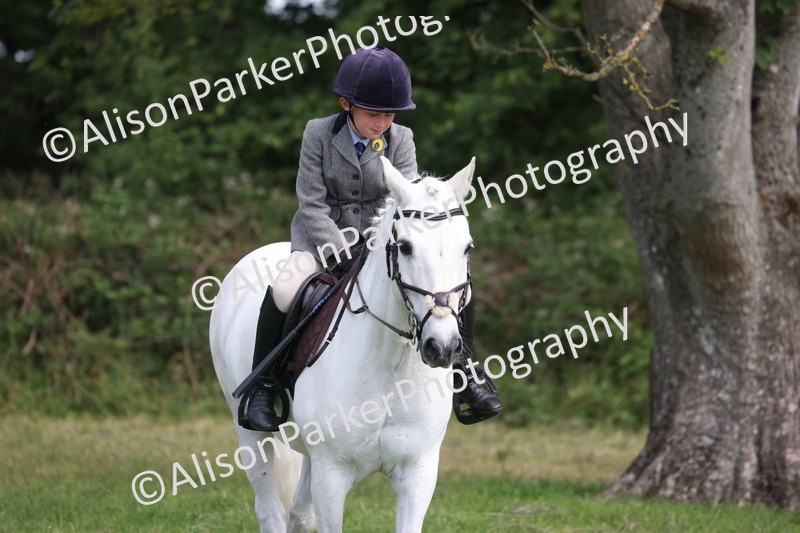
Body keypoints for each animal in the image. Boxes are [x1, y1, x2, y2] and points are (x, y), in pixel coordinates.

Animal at [209, 156, 476, 532]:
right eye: (405, 247)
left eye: (466, 247)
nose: (443, 346)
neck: (390, 367)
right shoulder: (331, 476)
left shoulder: (418, 473)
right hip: (247, 429)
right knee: (270, 509)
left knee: (300, 515)